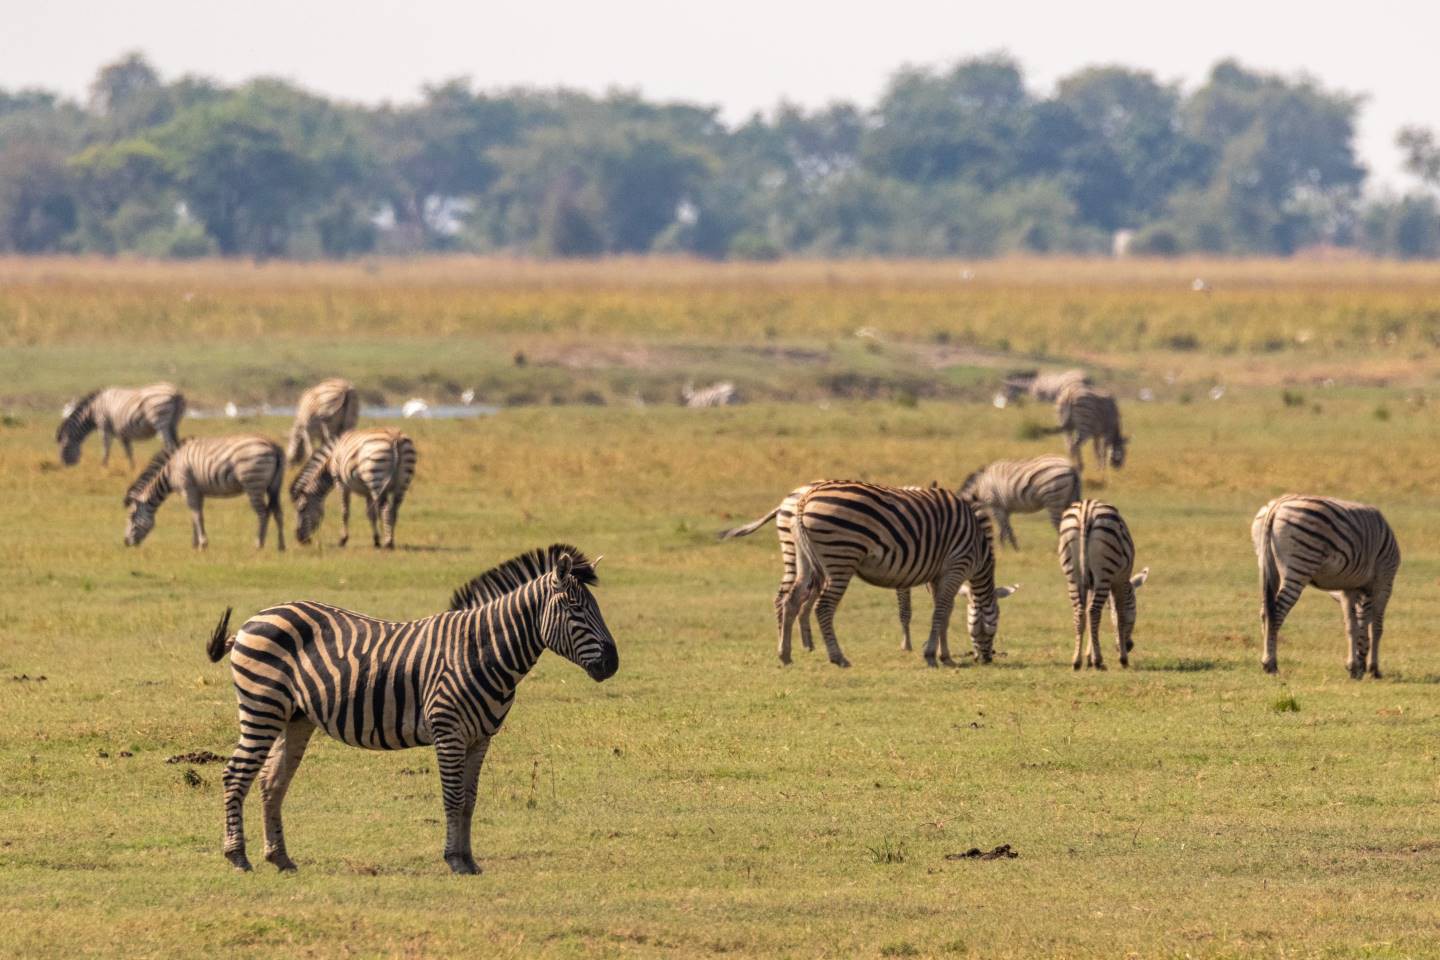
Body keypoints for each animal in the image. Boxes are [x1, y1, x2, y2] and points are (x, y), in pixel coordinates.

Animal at [55, 385, 185, 469]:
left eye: (64, 447)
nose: (66, 466)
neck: (92, 410)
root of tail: (176, 393)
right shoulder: (123, 433)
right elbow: (128, 452)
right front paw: (132, 468)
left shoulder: (104, 425)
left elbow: (106, 447)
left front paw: (103, 466)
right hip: (173, 424)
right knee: (176, 444)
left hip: (161, 422)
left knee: (169, 445)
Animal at [123, 434, 286, 546]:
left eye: (131, 516)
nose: (126, 542)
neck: (170, 471)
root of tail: (273, 445)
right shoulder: (197, 491)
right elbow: (196, 515)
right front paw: (195, 544)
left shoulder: (188, 489)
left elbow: (196, 515)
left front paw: (202, 543)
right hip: (273, 487)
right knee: (278, 512)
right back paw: (281, 547)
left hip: (254, 484)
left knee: (263, 513)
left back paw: (258, 544)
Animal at [1054, 500, 1152, 673]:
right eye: (1135, 611)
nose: (1130, 646)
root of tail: (1086, 510)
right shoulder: (1120, 580)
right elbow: (1119, 616)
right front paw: (1122, 659)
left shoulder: (1091, 584)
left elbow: (1091, 615)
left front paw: (1089, 657)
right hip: (1104, 572)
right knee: (1093, 611)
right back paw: (1099, 661)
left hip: (1073, 574)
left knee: (1081, 611)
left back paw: (1076, 661)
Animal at [1255, 495, 1399, 682]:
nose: (1363, 667)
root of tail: (1278, 505)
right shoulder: (1384, 581)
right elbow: (1376, 627)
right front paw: (1373, 669)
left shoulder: (1348, 588)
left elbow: (1352, 625)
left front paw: (1354, 667)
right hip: (1301, 563)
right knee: (1277, 612)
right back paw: (1271, 664)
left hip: (1267, 564)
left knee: (1265, 611)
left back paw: (1267, 659)